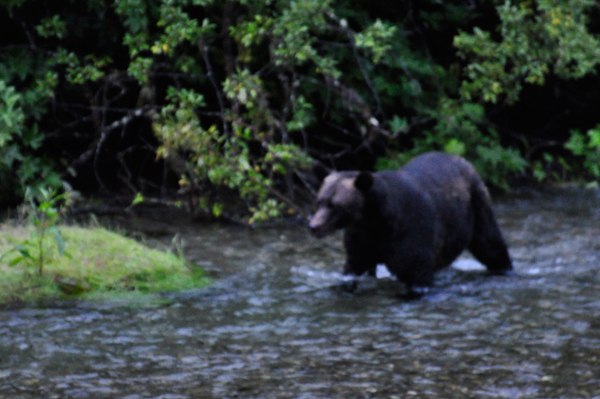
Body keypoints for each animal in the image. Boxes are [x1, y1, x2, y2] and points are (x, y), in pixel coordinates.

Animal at [310, 152, 510, 298]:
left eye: (335, 205)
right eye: (319, 201)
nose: (313, 226)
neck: (375, 220)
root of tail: (463, 160)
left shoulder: (410, 231)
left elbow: (417, 273)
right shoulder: (362, 240)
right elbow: (352, 268)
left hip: (476, 205)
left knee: (490, 244)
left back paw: (504, 269)